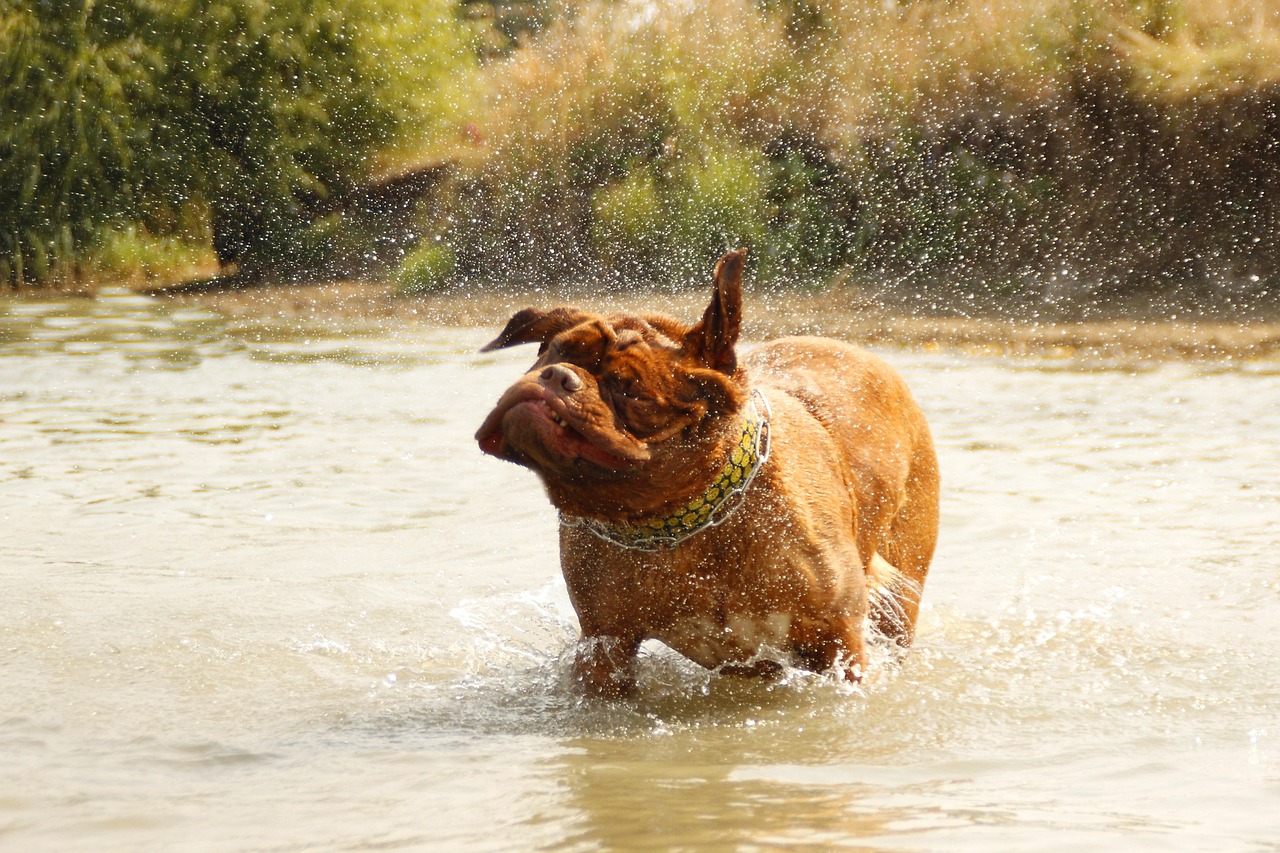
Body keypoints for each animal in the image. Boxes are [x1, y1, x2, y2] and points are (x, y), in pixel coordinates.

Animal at [476, 249, 936, 696]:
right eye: (556, 351)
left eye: (633, 392)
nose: (559, 376)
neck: (678, 519)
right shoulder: (604, 648)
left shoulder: (840, 646)